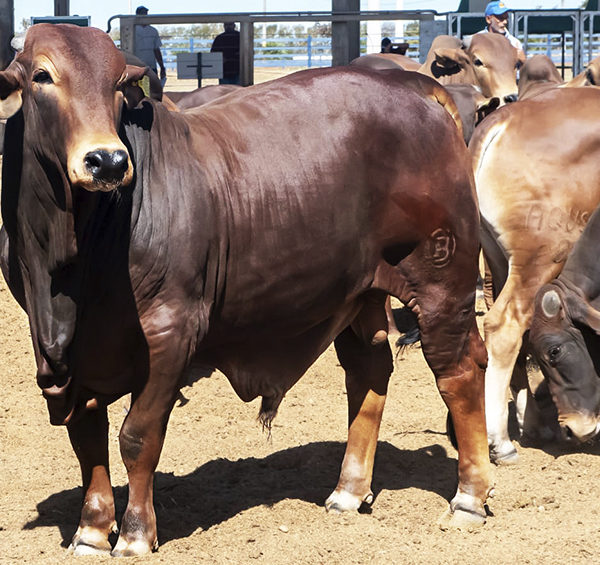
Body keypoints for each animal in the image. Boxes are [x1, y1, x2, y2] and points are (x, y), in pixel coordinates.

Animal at [0, 25, 492, 556]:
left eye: (116, 84)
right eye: (42, 76)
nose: (107, 161)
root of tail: (416, 88)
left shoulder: (171, 333)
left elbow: (137, 436)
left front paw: (134, 533)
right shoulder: (63, 354)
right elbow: (87, 438)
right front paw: (90, 530)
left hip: (442, 283)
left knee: (458, 372)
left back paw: (467, 498)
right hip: (360, 292)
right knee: (368, 371)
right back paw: (348, 489)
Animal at [472, 86, 600, 460]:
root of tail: (503, 119)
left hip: (501, 259)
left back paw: (530, 422)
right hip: (539, 258)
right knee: (504, 326)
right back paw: (499, 440)